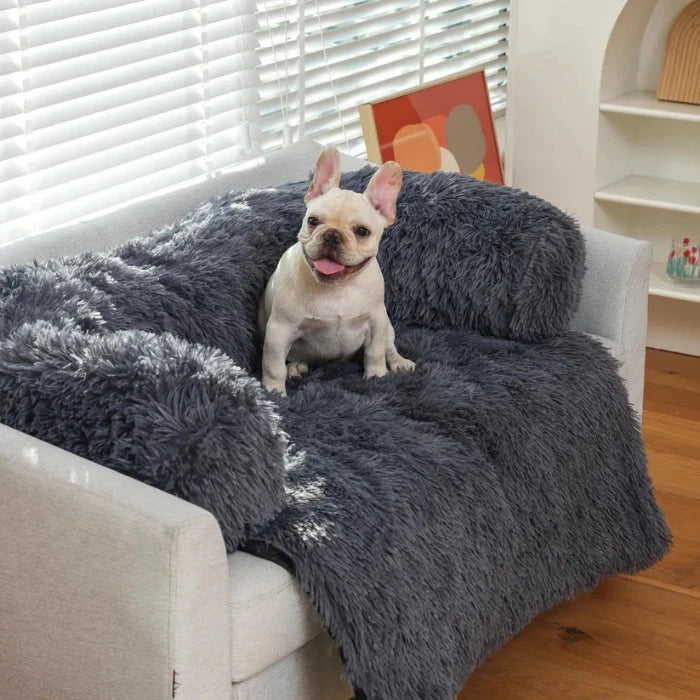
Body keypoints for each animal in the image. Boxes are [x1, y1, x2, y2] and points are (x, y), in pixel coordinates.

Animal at [262, 146, 416, 394]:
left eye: (362, 231)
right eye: (312, 221)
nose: (332, 235)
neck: (336, 288)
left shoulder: (376, 321)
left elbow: (375, 352)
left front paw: (376, 376)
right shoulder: (278, 331)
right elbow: (273, 366)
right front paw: (274, 392)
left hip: (387, 325)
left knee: (389, 346)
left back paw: (398, 362)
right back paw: (295, 367)